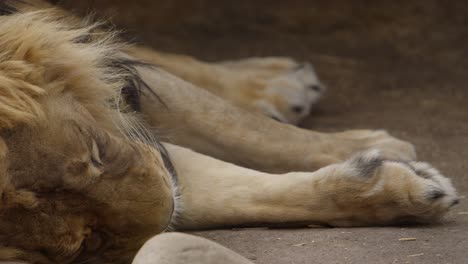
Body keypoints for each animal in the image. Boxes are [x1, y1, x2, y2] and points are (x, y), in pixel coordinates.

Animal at [0, 0, 460, 264]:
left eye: (96, 154)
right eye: (85, 244)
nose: (170, 208)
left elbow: (235, 125)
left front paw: (376, 149)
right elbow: (245, 196)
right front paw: (398, 192)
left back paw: (279, 81)